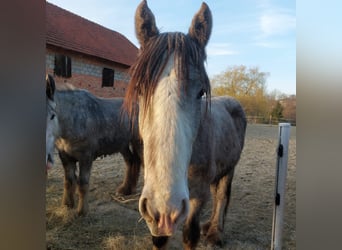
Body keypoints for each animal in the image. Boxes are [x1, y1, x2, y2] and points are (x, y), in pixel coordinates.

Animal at [45, 75, 142, 216]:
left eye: (52, 116)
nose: (46, 159)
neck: (74, 120)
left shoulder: (85, 157)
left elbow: (82, 184)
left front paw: (82, 211)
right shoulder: (65, 157)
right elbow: (68, 182)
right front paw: (67, 205)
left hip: (138, 142)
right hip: (123, 145)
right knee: (131, 162)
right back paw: (125, 190)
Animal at [124, 1, 247, 248]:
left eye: (201, 92)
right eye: (140, 89)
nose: (165, 205)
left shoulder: (197, 195)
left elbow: (190, 234)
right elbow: (159, 239)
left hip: (230, 168)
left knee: (222, 196)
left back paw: (216, 232)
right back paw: (209, 226)